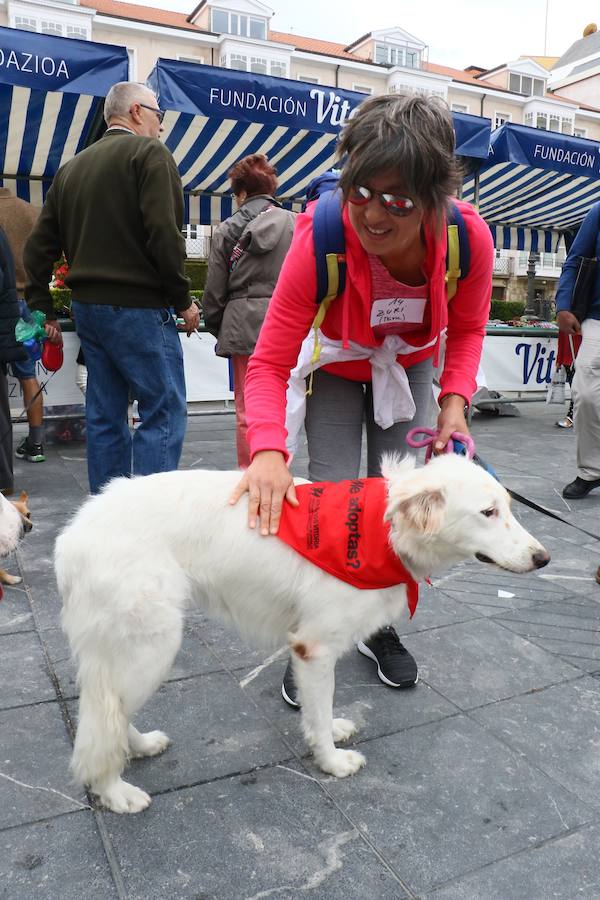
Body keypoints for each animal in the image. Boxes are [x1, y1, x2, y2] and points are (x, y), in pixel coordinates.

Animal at [55, 454, 548, 812]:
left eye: (508, 508)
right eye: (488, 512)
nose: (543, 558)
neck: (381, 529)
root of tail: (71, 535)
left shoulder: (314, 651)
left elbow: (320, 711)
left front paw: (332, 732)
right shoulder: (315, 648)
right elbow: (319, 710)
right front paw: (332, 763)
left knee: (111, 715)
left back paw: (140, 747)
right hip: (152, 645)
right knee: (106, 717)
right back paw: (114, 791)